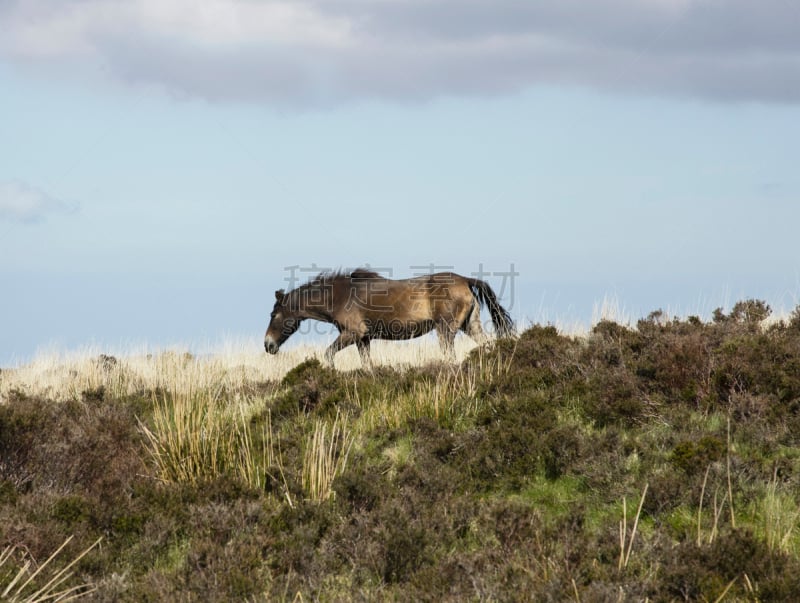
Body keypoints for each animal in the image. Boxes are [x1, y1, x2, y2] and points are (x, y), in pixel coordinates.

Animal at [262, 270, 512, 368]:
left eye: (274, 315)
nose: (268, 345)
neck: (340, 296)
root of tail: (465, 280)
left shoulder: (352, 334)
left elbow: (328, 354)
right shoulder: (363, 339)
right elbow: (367, 364)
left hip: (446, 330)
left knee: (450, 355)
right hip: (470, 326)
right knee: (487, 344)